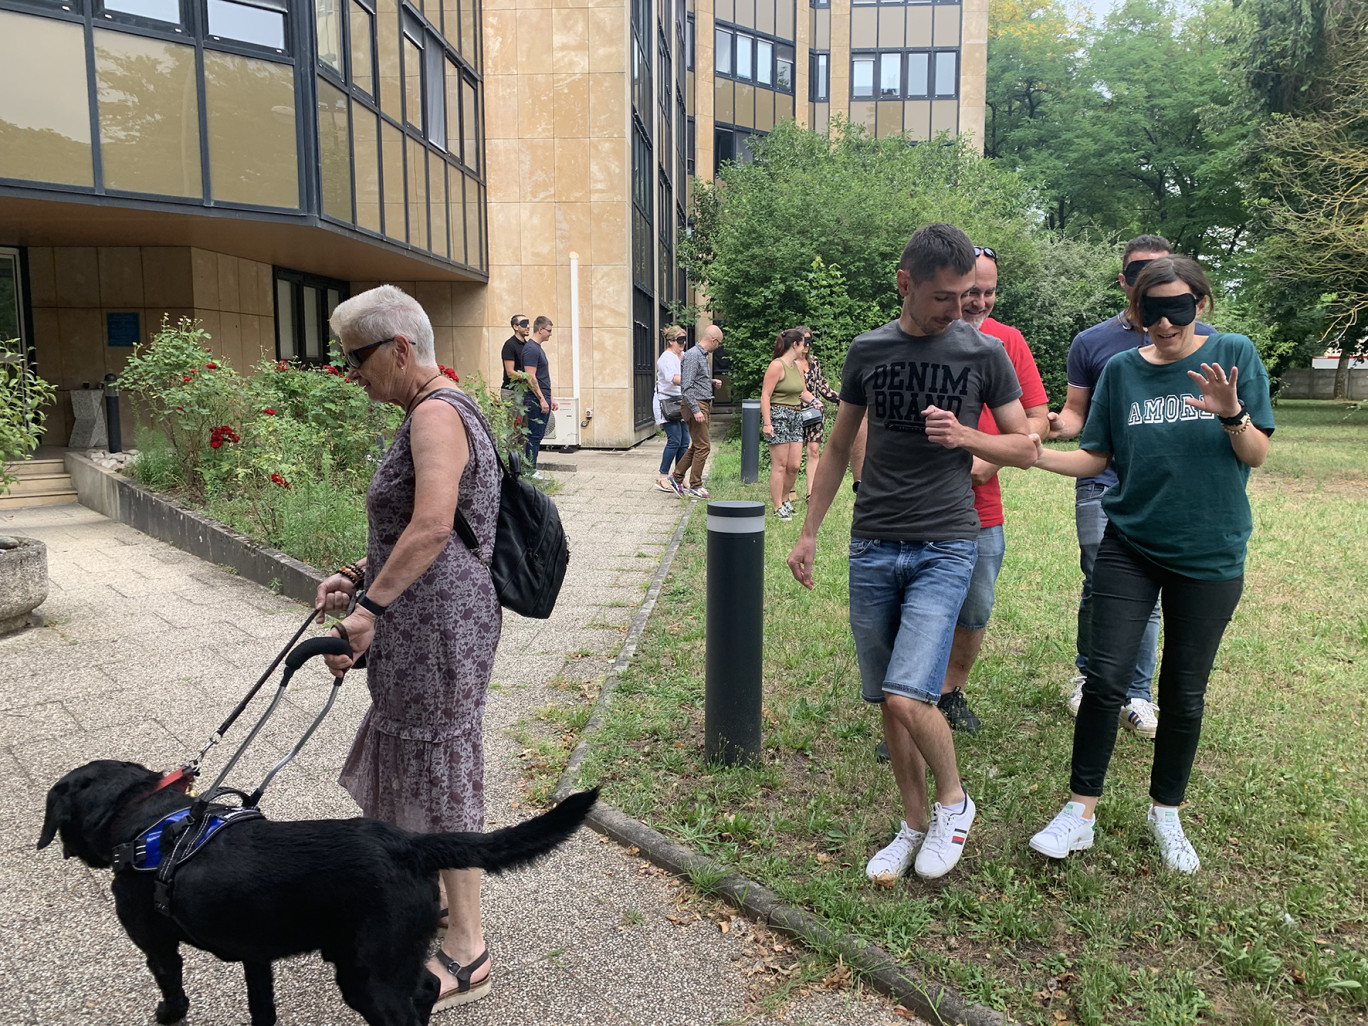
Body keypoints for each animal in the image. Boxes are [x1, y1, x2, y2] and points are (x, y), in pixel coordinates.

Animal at [38, 760, 599, 1026]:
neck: (146, 822)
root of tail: (409, 844)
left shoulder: (157, 946)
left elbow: (171, 988)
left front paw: (168, 1015)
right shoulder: (255, 955)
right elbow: (262, 1009)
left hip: (367, 977)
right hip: (380, 960)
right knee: (425, 989)